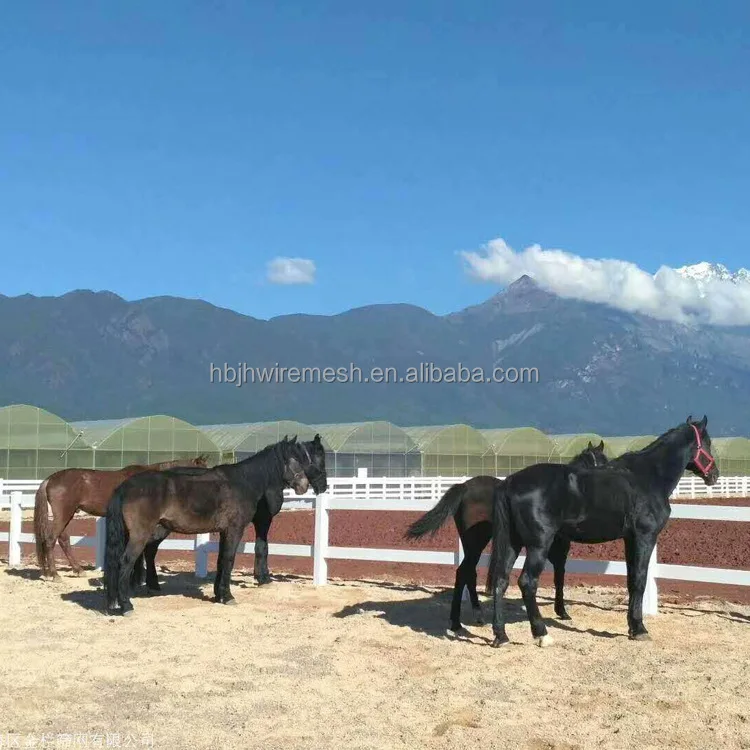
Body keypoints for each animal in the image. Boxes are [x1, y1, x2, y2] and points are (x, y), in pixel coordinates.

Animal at [33, 455, 209, 579]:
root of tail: (50, 479)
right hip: (64, 514)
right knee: (50, 540)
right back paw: (54, 574)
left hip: (67, 514)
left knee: (63, 539)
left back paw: (77, 570)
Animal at [103, 436, 326, 615]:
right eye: (295, 459)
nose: (305, 485)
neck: (244, 482)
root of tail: (125, 486)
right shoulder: (235, 530)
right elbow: (229, 559)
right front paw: (228, 596)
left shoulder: (224, 532)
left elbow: (220, 560)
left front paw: (219, 595)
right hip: (140, 535)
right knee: (125, 562)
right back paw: (126, 606)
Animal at [405, 441, 608, 633]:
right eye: (604, 461)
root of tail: (464, 486)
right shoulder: (558, 549)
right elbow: (560, 577)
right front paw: (562, 611)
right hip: (477, 541)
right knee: (463, 572)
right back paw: (458, 621)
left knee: (469, 573)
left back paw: (475, 616)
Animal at [487, 416, 719, 647]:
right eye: (708, 442)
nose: (714, 475)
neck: (648, 477)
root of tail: (510, 482)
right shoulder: (645, 537)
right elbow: (640, 580)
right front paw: (640, 629)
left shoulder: (630, 539)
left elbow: (631, 580)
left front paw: (632, 627)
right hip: (538, 545)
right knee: (527, 582)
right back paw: (541, 634)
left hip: (513, 543)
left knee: (501, 581)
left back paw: (501, 635)